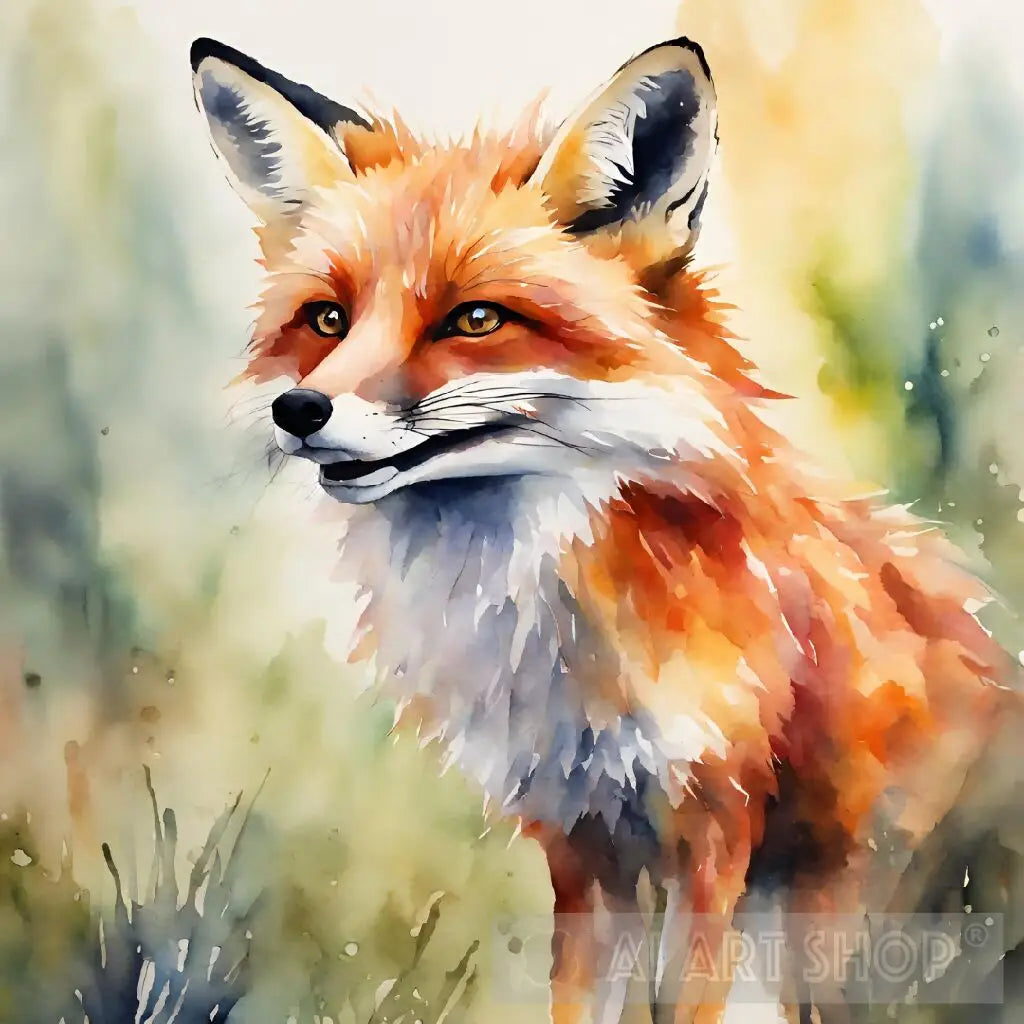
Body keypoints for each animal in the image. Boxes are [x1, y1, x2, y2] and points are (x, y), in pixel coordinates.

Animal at [191, 34, 1018, 1024]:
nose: (300, 410)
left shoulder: (718, 832)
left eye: (474, 318)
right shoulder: (583, 843)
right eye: (327, 319)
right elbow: (579, 999)